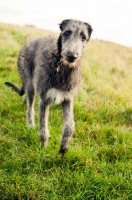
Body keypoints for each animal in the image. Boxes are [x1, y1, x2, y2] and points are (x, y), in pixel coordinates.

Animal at [4, 19, 92, 155]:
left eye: (83, 37)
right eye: (66, 33)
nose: (72, 56)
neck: (61, 68)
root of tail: (29, 42)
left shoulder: (67, 98)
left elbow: (70, 125)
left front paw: (64, 147)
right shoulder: (44, 99)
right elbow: (43, 128)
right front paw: (43, 148)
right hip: (30, 82)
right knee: (30, 107)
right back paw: (30, 125)